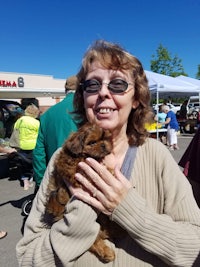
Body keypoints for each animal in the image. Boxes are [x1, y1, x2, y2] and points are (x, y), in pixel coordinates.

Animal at [45, 123, 125, 264]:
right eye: (92, 142)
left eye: (105, 139)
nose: (104, 145)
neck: (84, 155)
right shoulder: (71, 167)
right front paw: (107, 172)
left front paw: (111, 172)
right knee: (93, 241)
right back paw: (106, 252)